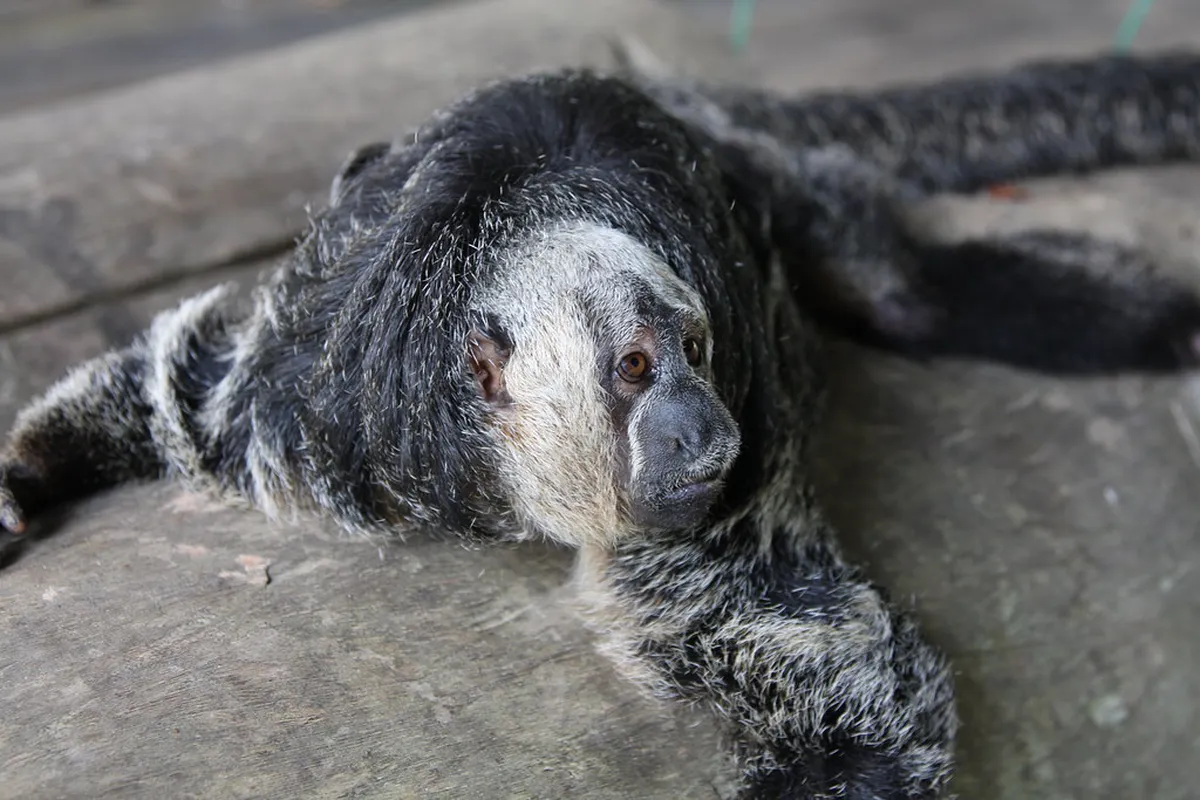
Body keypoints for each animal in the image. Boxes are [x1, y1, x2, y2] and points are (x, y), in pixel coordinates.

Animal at [4, 51, 1200, 798]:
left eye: (699, 352)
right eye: (634, 368)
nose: (704, 429)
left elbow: (845, 670)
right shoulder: (317, 399)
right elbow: (180, 391)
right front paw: (29, 470)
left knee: (898, 292)